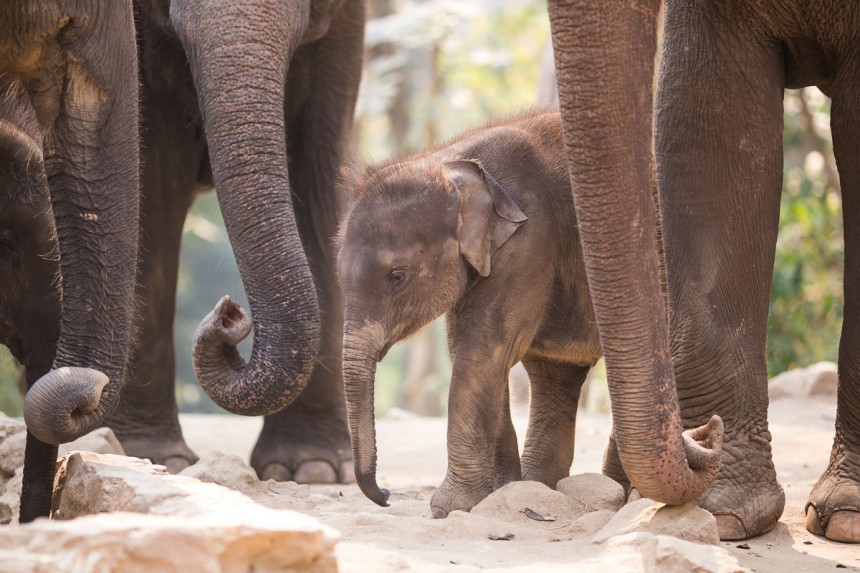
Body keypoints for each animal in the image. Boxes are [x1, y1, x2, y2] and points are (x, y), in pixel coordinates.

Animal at [336, 109, 596, 516]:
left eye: (397, 276)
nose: (387, 495)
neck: (447, 162)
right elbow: (476, 355)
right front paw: (499, 492)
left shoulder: (529, 241)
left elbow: (481, 352)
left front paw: (448, 508)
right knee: (556, 374)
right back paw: (541, 488)